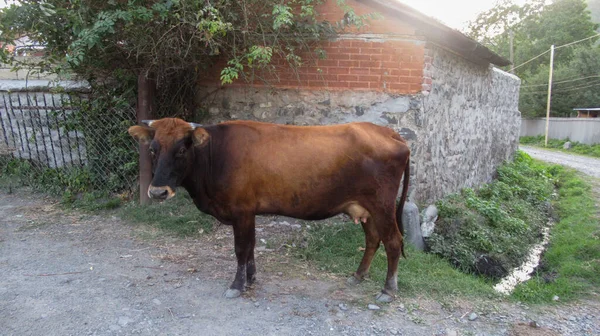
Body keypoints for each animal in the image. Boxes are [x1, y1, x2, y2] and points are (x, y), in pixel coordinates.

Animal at [129, 118, 410, 302]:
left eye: (181, 149)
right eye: (153, 149)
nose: (158, 192)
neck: (216, 154)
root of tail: (387, 132)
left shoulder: (241, 210)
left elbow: (241, 249)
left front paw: (237, 284)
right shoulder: (249, 212)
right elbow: (251, 246)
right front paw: (251, 278)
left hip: (382, 205)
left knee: (393, 242)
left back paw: (388, 290)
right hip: (366, 208)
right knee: (373, 240)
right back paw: (358, 276)